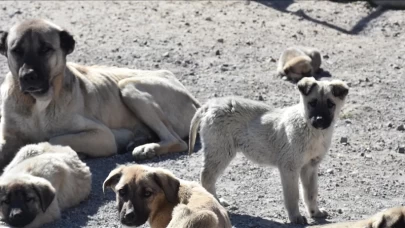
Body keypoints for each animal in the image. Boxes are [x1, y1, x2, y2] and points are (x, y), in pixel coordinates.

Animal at [0, 19, 197, 169]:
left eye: (45, 49)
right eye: (16, 50)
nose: (28, 76)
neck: (37, 103)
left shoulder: (102, 136)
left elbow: (54, 138)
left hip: (128, 86)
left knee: (177, 141)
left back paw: (148, 148)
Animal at [188, 77, 348, 224]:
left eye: (330, 104)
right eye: (312, 103)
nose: (319, 120)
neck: (311, 129)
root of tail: (210, 105)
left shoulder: (310, 167)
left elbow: (311, 193)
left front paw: (315, 212)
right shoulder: (289, 168)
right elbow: (293, 195)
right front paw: (295, 217)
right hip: (220, 152)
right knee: (206, 177)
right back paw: (216, 204)